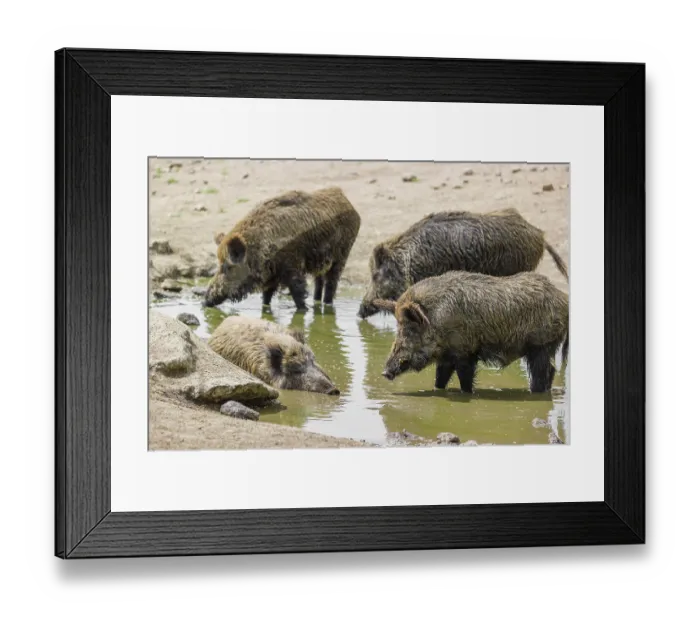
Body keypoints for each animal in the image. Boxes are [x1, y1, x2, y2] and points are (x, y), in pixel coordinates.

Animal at [204, 187, 361, 310]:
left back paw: (327, 304)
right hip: (320, 262)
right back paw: (316, 303)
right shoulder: (271, 276)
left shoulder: (292, 266)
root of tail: (347, 200)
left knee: (331, 283)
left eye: (227, 267)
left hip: (343, 253)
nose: (205, 301)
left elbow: (298, 293)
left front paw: (303, 310)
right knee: (319, 281)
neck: (262, 247)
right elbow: (266, 297)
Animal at [376, 271, 568, 393]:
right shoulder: (446, 356)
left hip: (541, 345)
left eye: (409, 328)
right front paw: (437, 391)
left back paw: (535, 393)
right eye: (398, 326)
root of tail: (563, 299)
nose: (385, 372)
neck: (438, 318)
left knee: (542, 372)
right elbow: (440, 379)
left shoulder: (466, 352)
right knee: (551, 370)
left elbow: (465, 380)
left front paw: (467, 394)